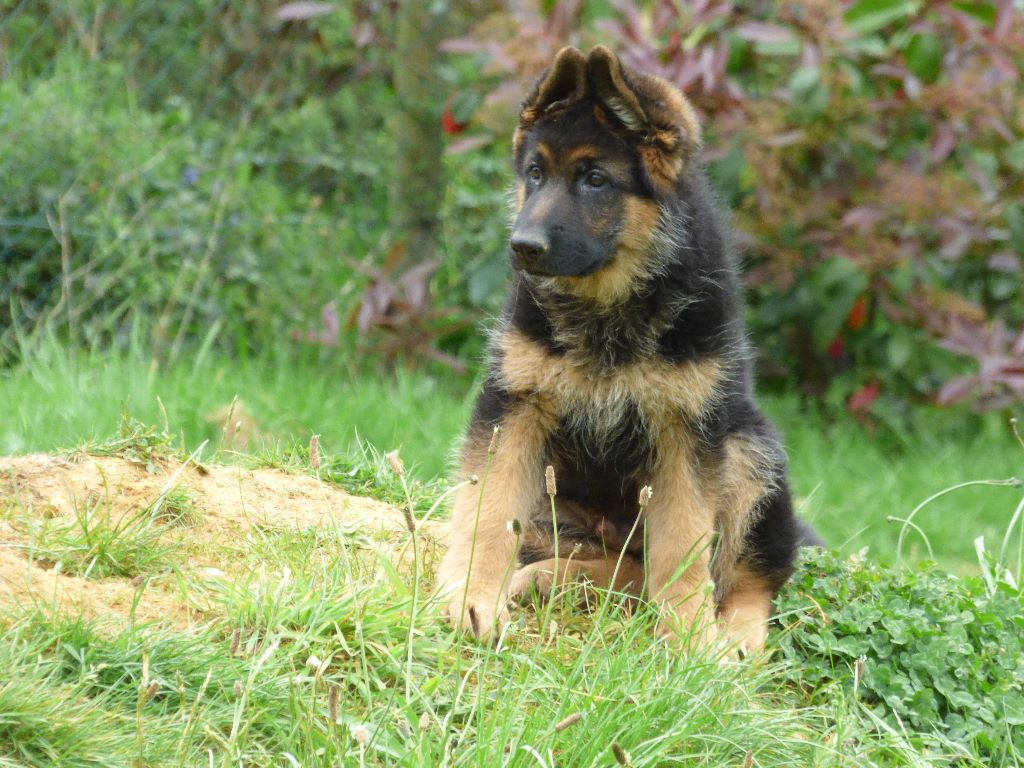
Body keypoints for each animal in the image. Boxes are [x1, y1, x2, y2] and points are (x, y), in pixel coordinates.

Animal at [434, 45, 815, 651]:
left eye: (595, 179)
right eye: (535, 173)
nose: (523, 246)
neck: (607, 306)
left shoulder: (686, 430)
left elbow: (683, 548)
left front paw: (690, 642)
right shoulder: (516, 406)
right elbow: (487, 511)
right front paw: (471, 598)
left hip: (750, 452)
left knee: (748, 578)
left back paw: (732, 636)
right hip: (554, 509)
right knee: (622, 569)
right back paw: (547, 579)